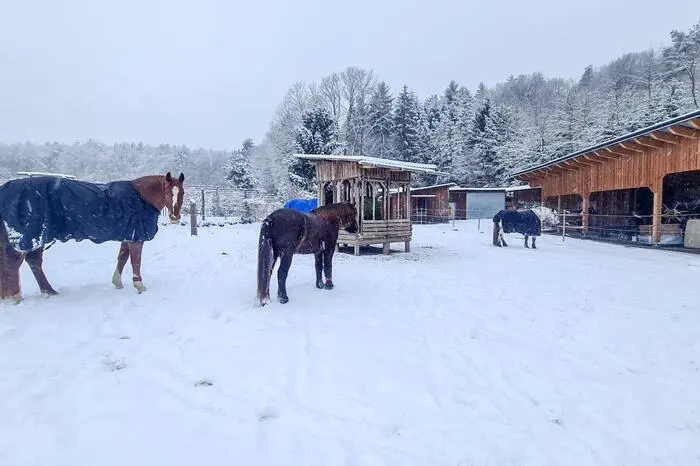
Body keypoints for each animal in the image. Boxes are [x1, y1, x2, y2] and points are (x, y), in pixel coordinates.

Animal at [0, 172, 185, 303]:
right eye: (168, 192)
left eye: (182, 192)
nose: (175, 217)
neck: (140, 198)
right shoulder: (136, 237)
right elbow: (135, 261)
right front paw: (139, 286)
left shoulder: (127, 235)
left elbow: (122, 258)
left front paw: (117, 282)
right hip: (27, 237)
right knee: (14, 262)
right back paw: (16, 297)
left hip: (39, 237)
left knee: (34, 262)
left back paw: (49, 292)